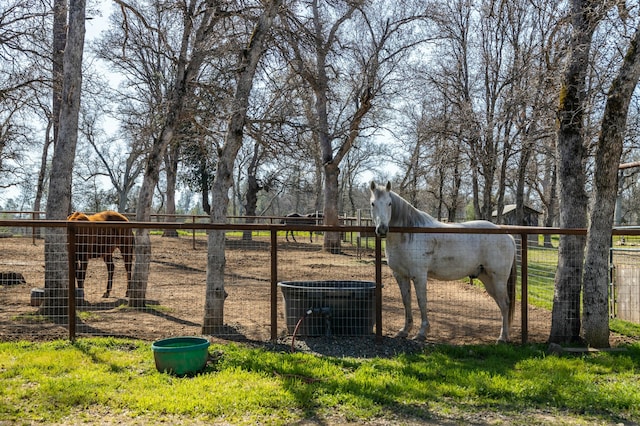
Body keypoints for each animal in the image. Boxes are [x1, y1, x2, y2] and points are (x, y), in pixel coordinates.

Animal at [368, 181, 516, 342]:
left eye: (389, 203)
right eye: (372, 203)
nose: (382, 229)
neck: (408, 234)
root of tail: (508, 236)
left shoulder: (419, 275)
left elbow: (421, 301)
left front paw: (422, 332)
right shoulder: (400, 275)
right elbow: (406, 301)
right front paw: (404, 330)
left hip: (498, 279)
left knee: (505, 304)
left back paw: (502, 338)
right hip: (488, 279)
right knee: (502, 305)